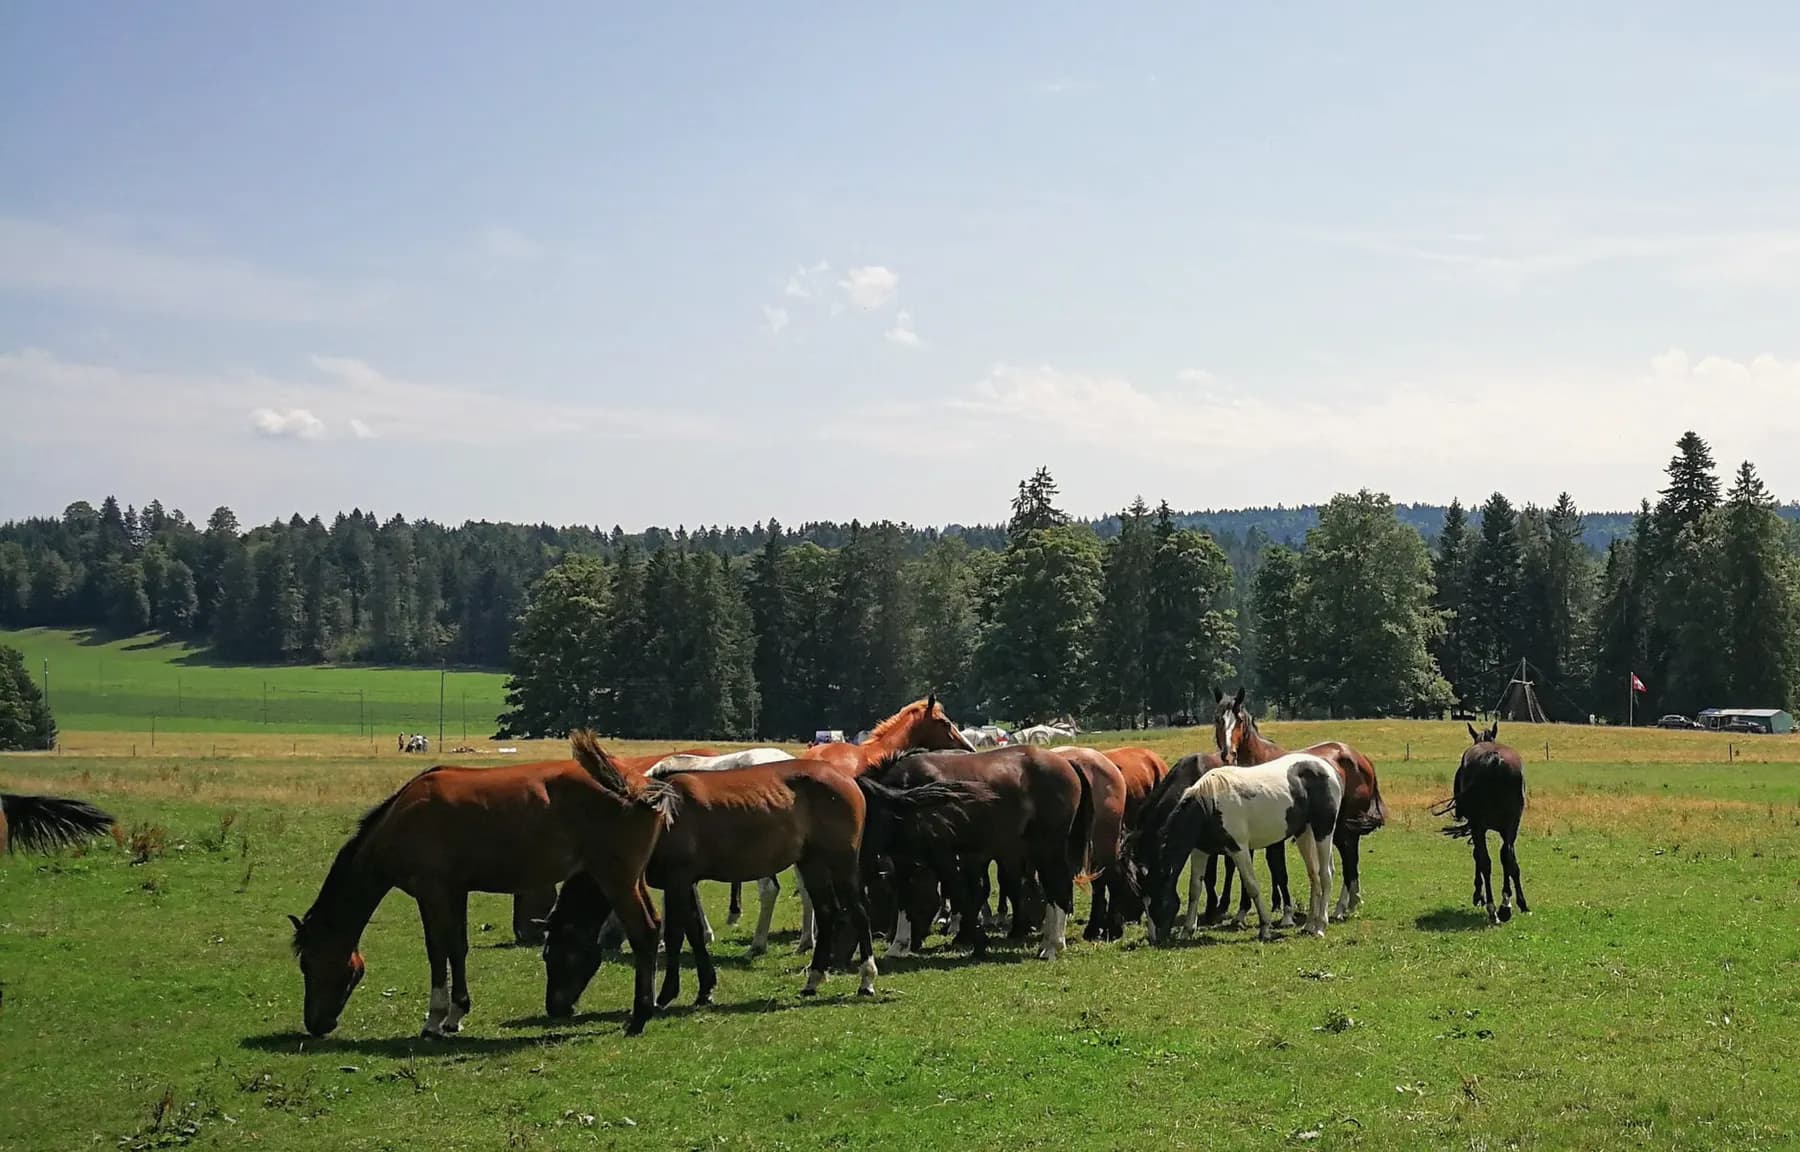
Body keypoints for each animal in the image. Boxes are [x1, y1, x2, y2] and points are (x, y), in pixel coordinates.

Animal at [288, 732, 676, 1038]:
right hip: (631, 880)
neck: (403, 817)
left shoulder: (430, 893)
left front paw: (435, 1019)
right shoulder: (454, 892)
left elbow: (437, 950)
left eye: (310, 964)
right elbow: (457, 948)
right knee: (654, 927)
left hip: (617, 880)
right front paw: (455, 1015)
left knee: (643, 933)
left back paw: (639, 1018)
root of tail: (635, 785)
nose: (316, 1024)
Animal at [865, 745, 1090, 960]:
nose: (880, 934)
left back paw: (1052, 946)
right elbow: (906, 900)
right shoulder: (906, 862)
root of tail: (1067, 763)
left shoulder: (944, 856)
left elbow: (962, 896)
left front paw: (977, 942)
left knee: (1058, 888)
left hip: (1048, 847)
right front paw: (898, 946)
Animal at [1142, 751, 1343, 943]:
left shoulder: (1238, 849)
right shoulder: (1201, 851)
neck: (1208, 805)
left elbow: (1251, 886)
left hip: (1323, 830)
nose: (1155, 939)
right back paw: (1309, 925)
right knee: (1314, 875)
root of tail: (1327, 768)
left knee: (1325, 874)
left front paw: (1265, 928)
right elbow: (1195, 889)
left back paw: (1320, 927)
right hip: (1304, 832)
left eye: (1158, 901)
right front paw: (1187, 930)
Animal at [1213, 687, 1388, 921]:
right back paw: (1350, 903)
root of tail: (1360, 758)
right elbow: (1246, 871)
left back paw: (1341, 908)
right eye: (1218, 719)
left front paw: (1287, 914)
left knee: (1350, 860)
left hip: (1343, 827)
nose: (1228, 753)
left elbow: (1279, 870)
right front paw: (1242, 912)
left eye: (1239, 719)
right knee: (1351, 861)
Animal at [1432, 723, 1530, 924]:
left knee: (1486, 861)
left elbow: (1478, 856)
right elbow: (1508, 860)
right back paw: (1506, 906)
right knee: (1507, 857)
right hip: (1510, 827)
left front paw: (1479, 894)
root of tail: (1495, 759)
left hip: (1479, 827)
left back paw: (1493, 909)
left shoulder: (1477, 827)